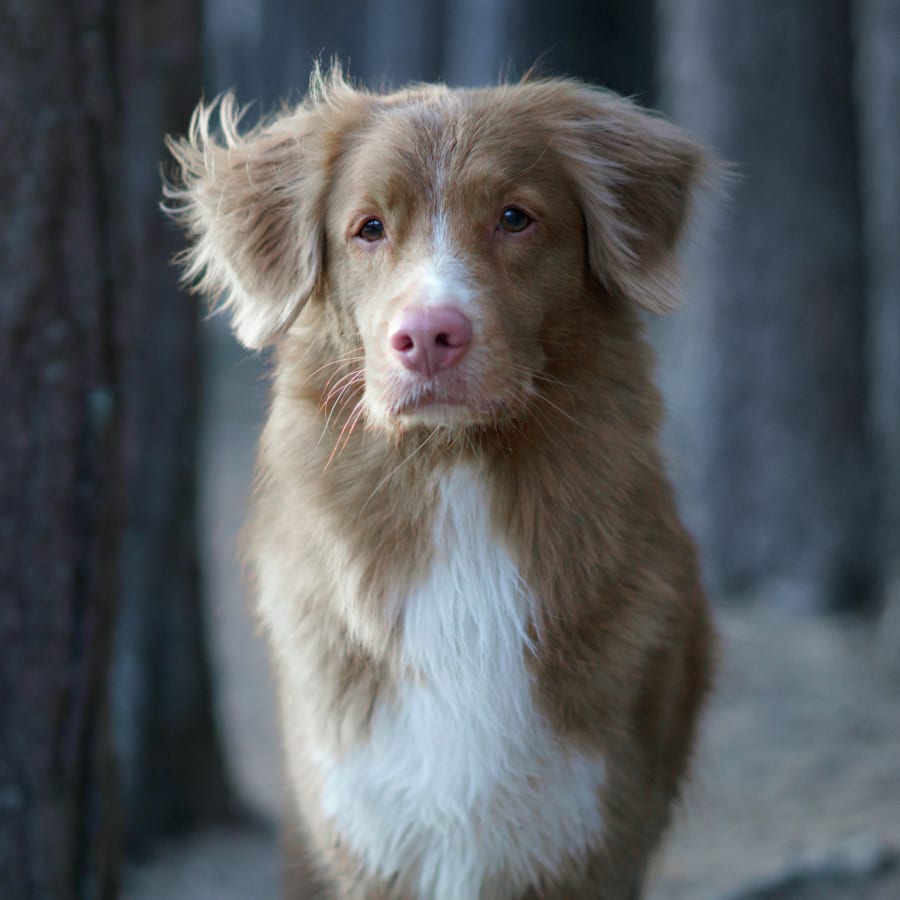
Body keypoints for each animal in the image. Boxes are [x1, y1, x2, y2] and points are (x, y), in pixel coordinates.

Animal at [165, 67, 716, 896]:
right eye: (368, 228)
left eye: (515, 218)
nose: (427, 335)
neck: (453, 473)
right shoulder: (363, 827)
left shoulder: (591, 830)